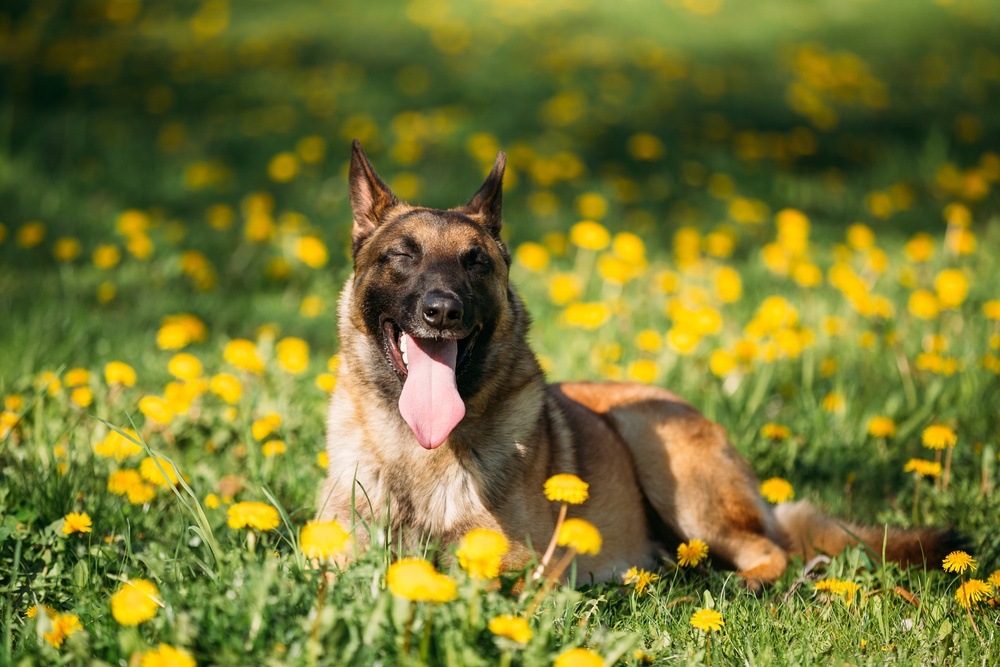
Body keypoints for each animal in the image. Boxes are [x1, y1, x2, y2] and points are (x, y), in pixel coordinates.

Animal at [320, 141, 960, 588]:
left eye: (475, 262)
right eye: (402, 255)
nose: (443, 311)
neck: (416, 450)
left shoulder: (521, 564)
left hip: (659, 452)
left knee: (769, 552)